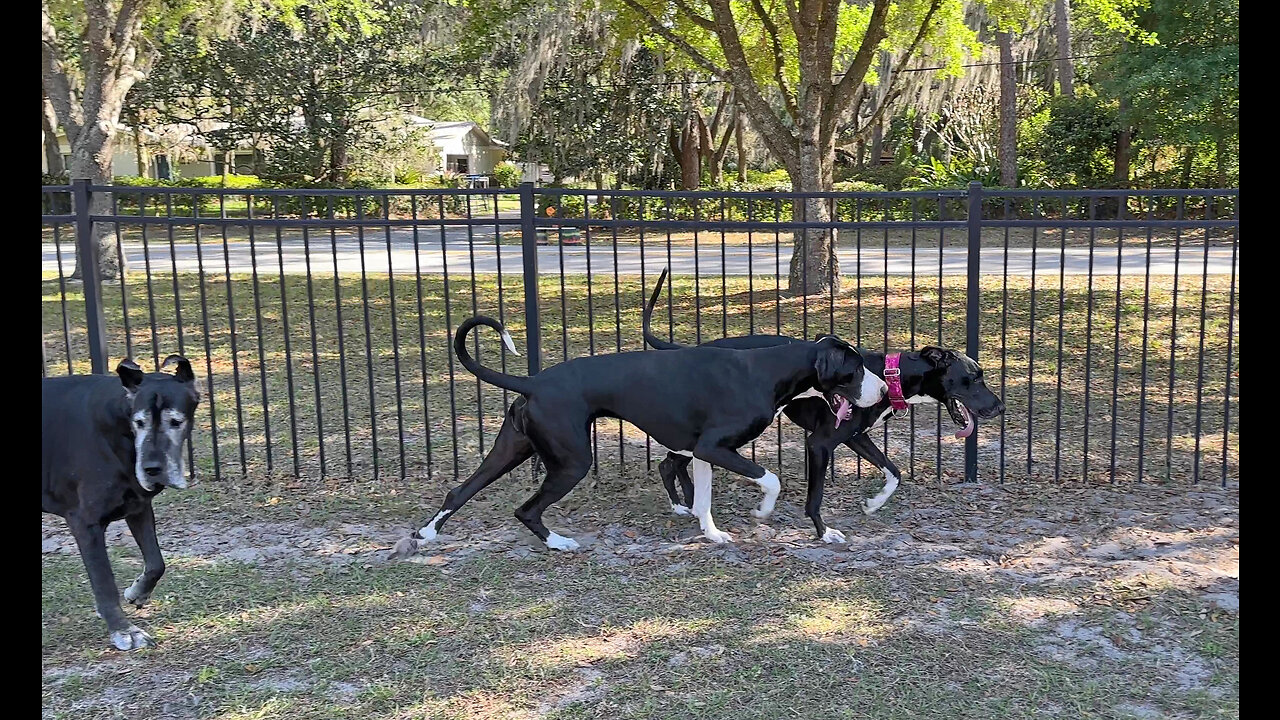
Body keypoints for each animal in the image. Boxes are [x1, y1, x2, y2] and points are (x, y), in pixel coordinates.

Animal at [41, 356, 199, 648]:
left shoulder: (138, 507)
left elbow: (156, 563)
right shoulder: (86, 523)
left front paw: (138, 592)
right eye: (139, 422)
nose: (152, 469)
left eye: (176, 421)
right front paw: (123, 629)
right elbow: (104, 582)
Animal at [401, 313, 890, 548]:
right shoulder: (716, 448)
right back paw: (559, 543)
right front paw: (763, 512)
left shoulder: (703, 453)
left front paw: (711, 535)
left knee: (460, 490)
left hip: (512, 449)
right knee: (526, 510)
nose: (885, 388)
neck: (767, 370)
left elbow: (703, 501)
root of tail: (533, 382)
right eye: (853, 370)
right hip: (573, 461)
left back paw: (428, 534)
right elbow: (770, 479)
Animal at [645, 267, 1003, 538]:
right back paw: (687, 504)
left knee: (671, 463)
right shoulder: (820, 443)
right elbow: (815, 498)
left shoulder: (856, 437)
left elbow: (894, 472)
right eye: (973, 378)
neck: (891, 375)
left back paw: (687, 503)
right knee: (671, 463)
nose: (999, 407)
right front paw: (823, 531)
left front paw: (874, 503)